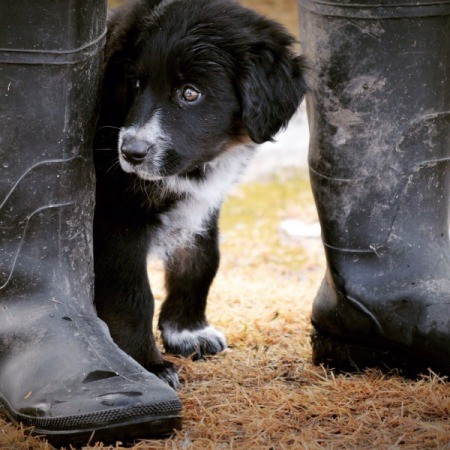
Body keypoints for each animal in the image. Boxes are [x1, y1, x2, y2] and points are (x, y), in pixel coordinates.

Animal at [93, 0, 308, 386]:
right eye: (135, 83)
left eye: (190, 93)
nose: (130, 153)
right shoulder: (115, 220)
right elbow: (132, 296)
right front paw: (145, 365)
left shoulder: (201, 208)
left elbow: (200, 261)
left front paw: (186, 331)